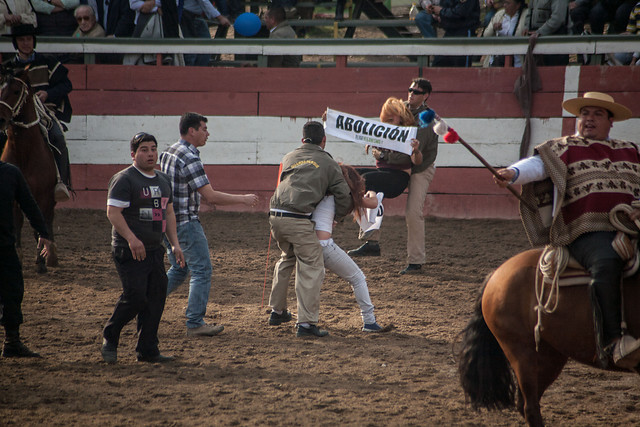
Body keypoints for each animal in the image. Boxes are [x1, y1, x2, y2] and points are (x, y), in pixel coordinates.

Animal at [0, 67, 57, 274]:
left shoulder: (42, 195)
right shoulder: (15, 195)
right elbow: (17, 225)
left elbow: (39, 226)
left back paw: (51, 256)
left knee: (47, 221)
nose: (0, 119)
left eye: (17, 91)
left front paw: (41, 261)